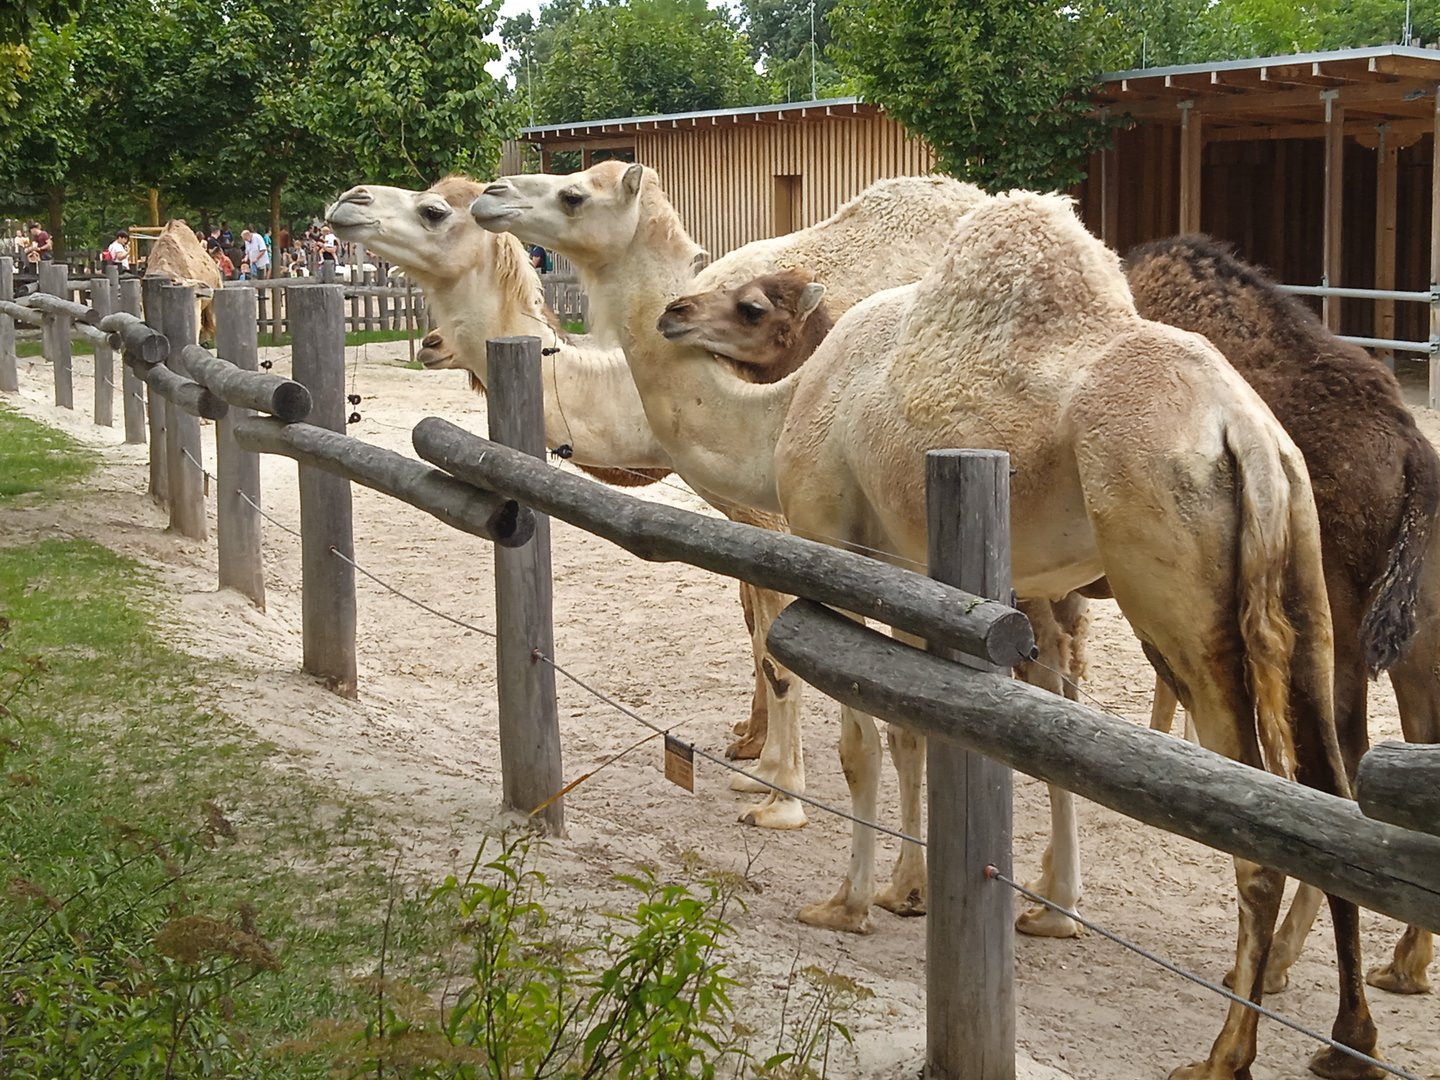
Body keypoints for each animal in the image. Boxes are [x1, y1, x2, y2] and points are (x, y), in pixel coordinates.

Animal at [472, 164, 1376, 1079]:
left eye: (576, 194)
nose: (675, 312)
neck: (784, 410)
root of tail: (1243, 433)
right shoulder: (912, 574)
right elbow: (916, 734)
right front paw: (911, 890)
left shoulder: (833, 551)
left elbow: (860, 745)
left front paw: (845, 902)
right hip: (1298, 574)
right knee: (1328, 791)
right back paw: (1347, 1038)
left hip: (1177, 589)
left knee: (1256, 810)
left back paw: (1225, 1050)